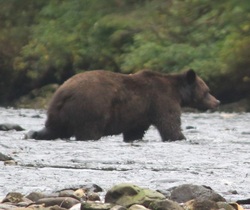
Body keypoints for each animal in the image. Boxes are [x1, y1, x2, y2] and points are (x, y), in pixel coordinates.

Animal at [26, 69, 220, 142]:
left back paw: (34, 134)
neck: (178, 93)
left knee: (54, 128)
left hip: (59, 112)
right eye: (207, 90)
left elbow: (135, 130)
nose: (217, 101)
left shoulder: (141, 113)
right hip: (90, 108)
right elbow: (169, 124)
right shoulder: (161, 100)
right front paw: (180, 137)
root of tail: (64, 92)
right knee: (88, 130)